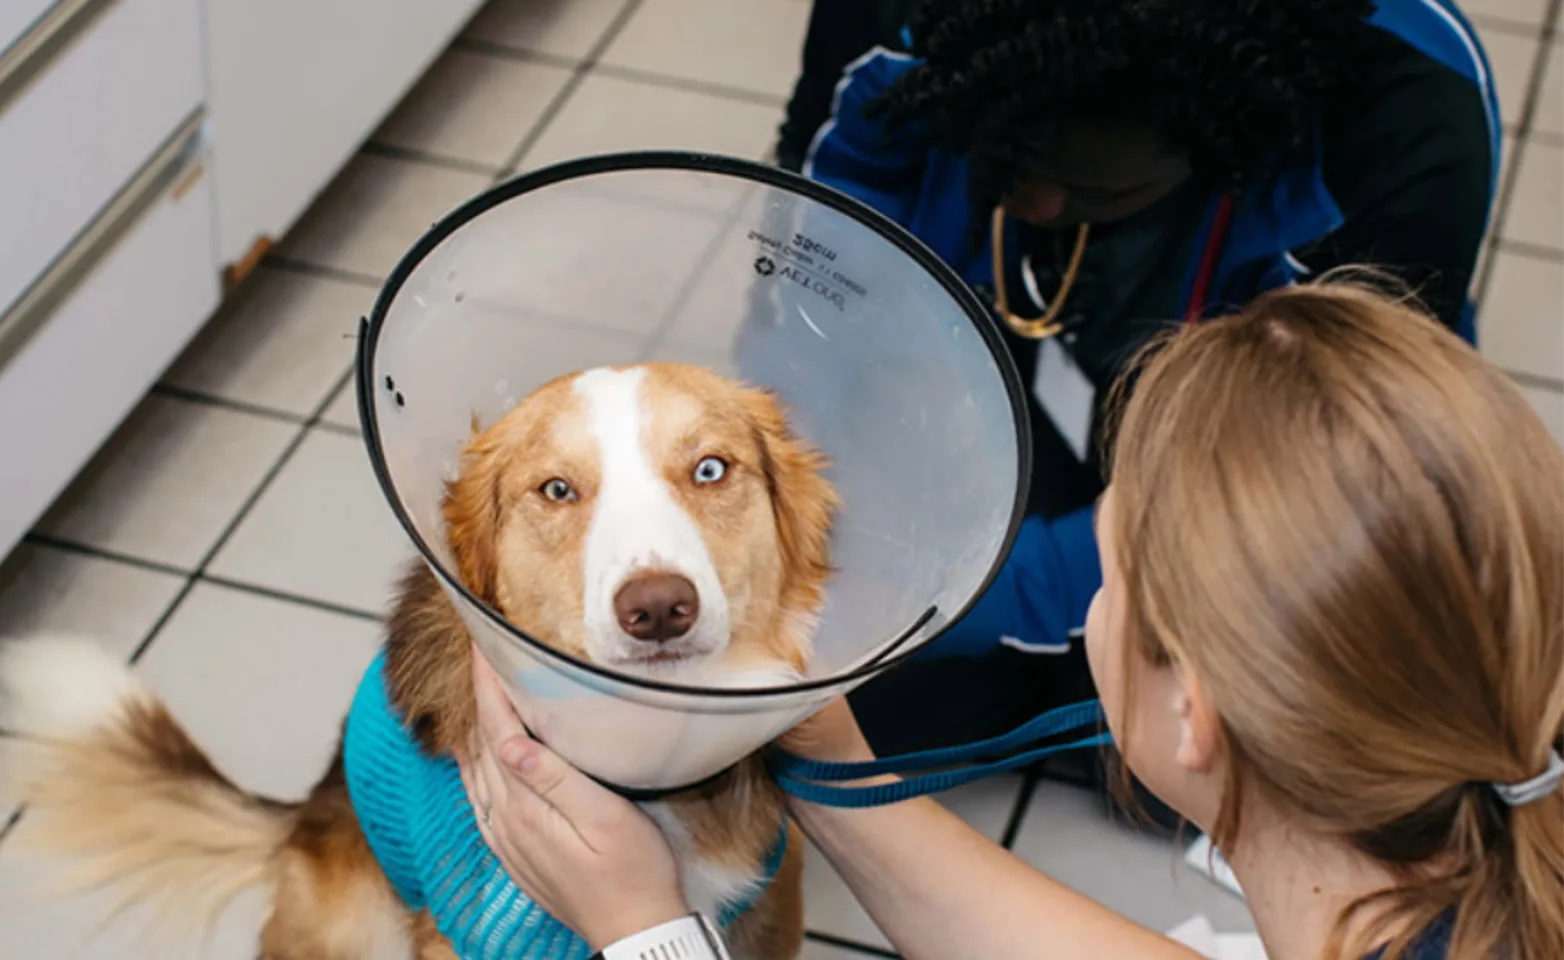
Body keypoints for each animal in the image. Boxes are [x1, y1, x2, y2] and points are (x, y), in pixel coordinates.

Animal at [0, 362, 844, 960]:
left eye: (710, 470)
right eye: (557, 490)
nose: (660, 608)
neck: (644, 776)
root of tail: (301, 817)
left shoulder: (767, 911)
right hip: (360, 919)